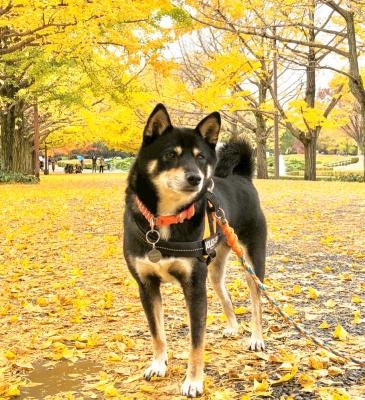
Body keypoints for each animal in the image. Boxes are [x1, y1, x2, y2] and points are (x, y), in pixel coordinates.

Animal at [123, 104, 266, 398]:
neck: (164, 220)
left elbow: (196, 342)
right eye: (170, 154)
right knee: (225, 295)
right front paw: (158, 364)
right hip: (213, 270)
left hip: (252, 263)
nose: (196, 178)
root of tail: (243, 178)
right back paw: (233, 327)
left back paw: (256, 339)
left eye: (201, 158)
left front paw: (193, 381)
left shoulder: (194, 287)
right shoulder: (147, 286)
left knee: (256, 302)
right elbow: (157, 333)